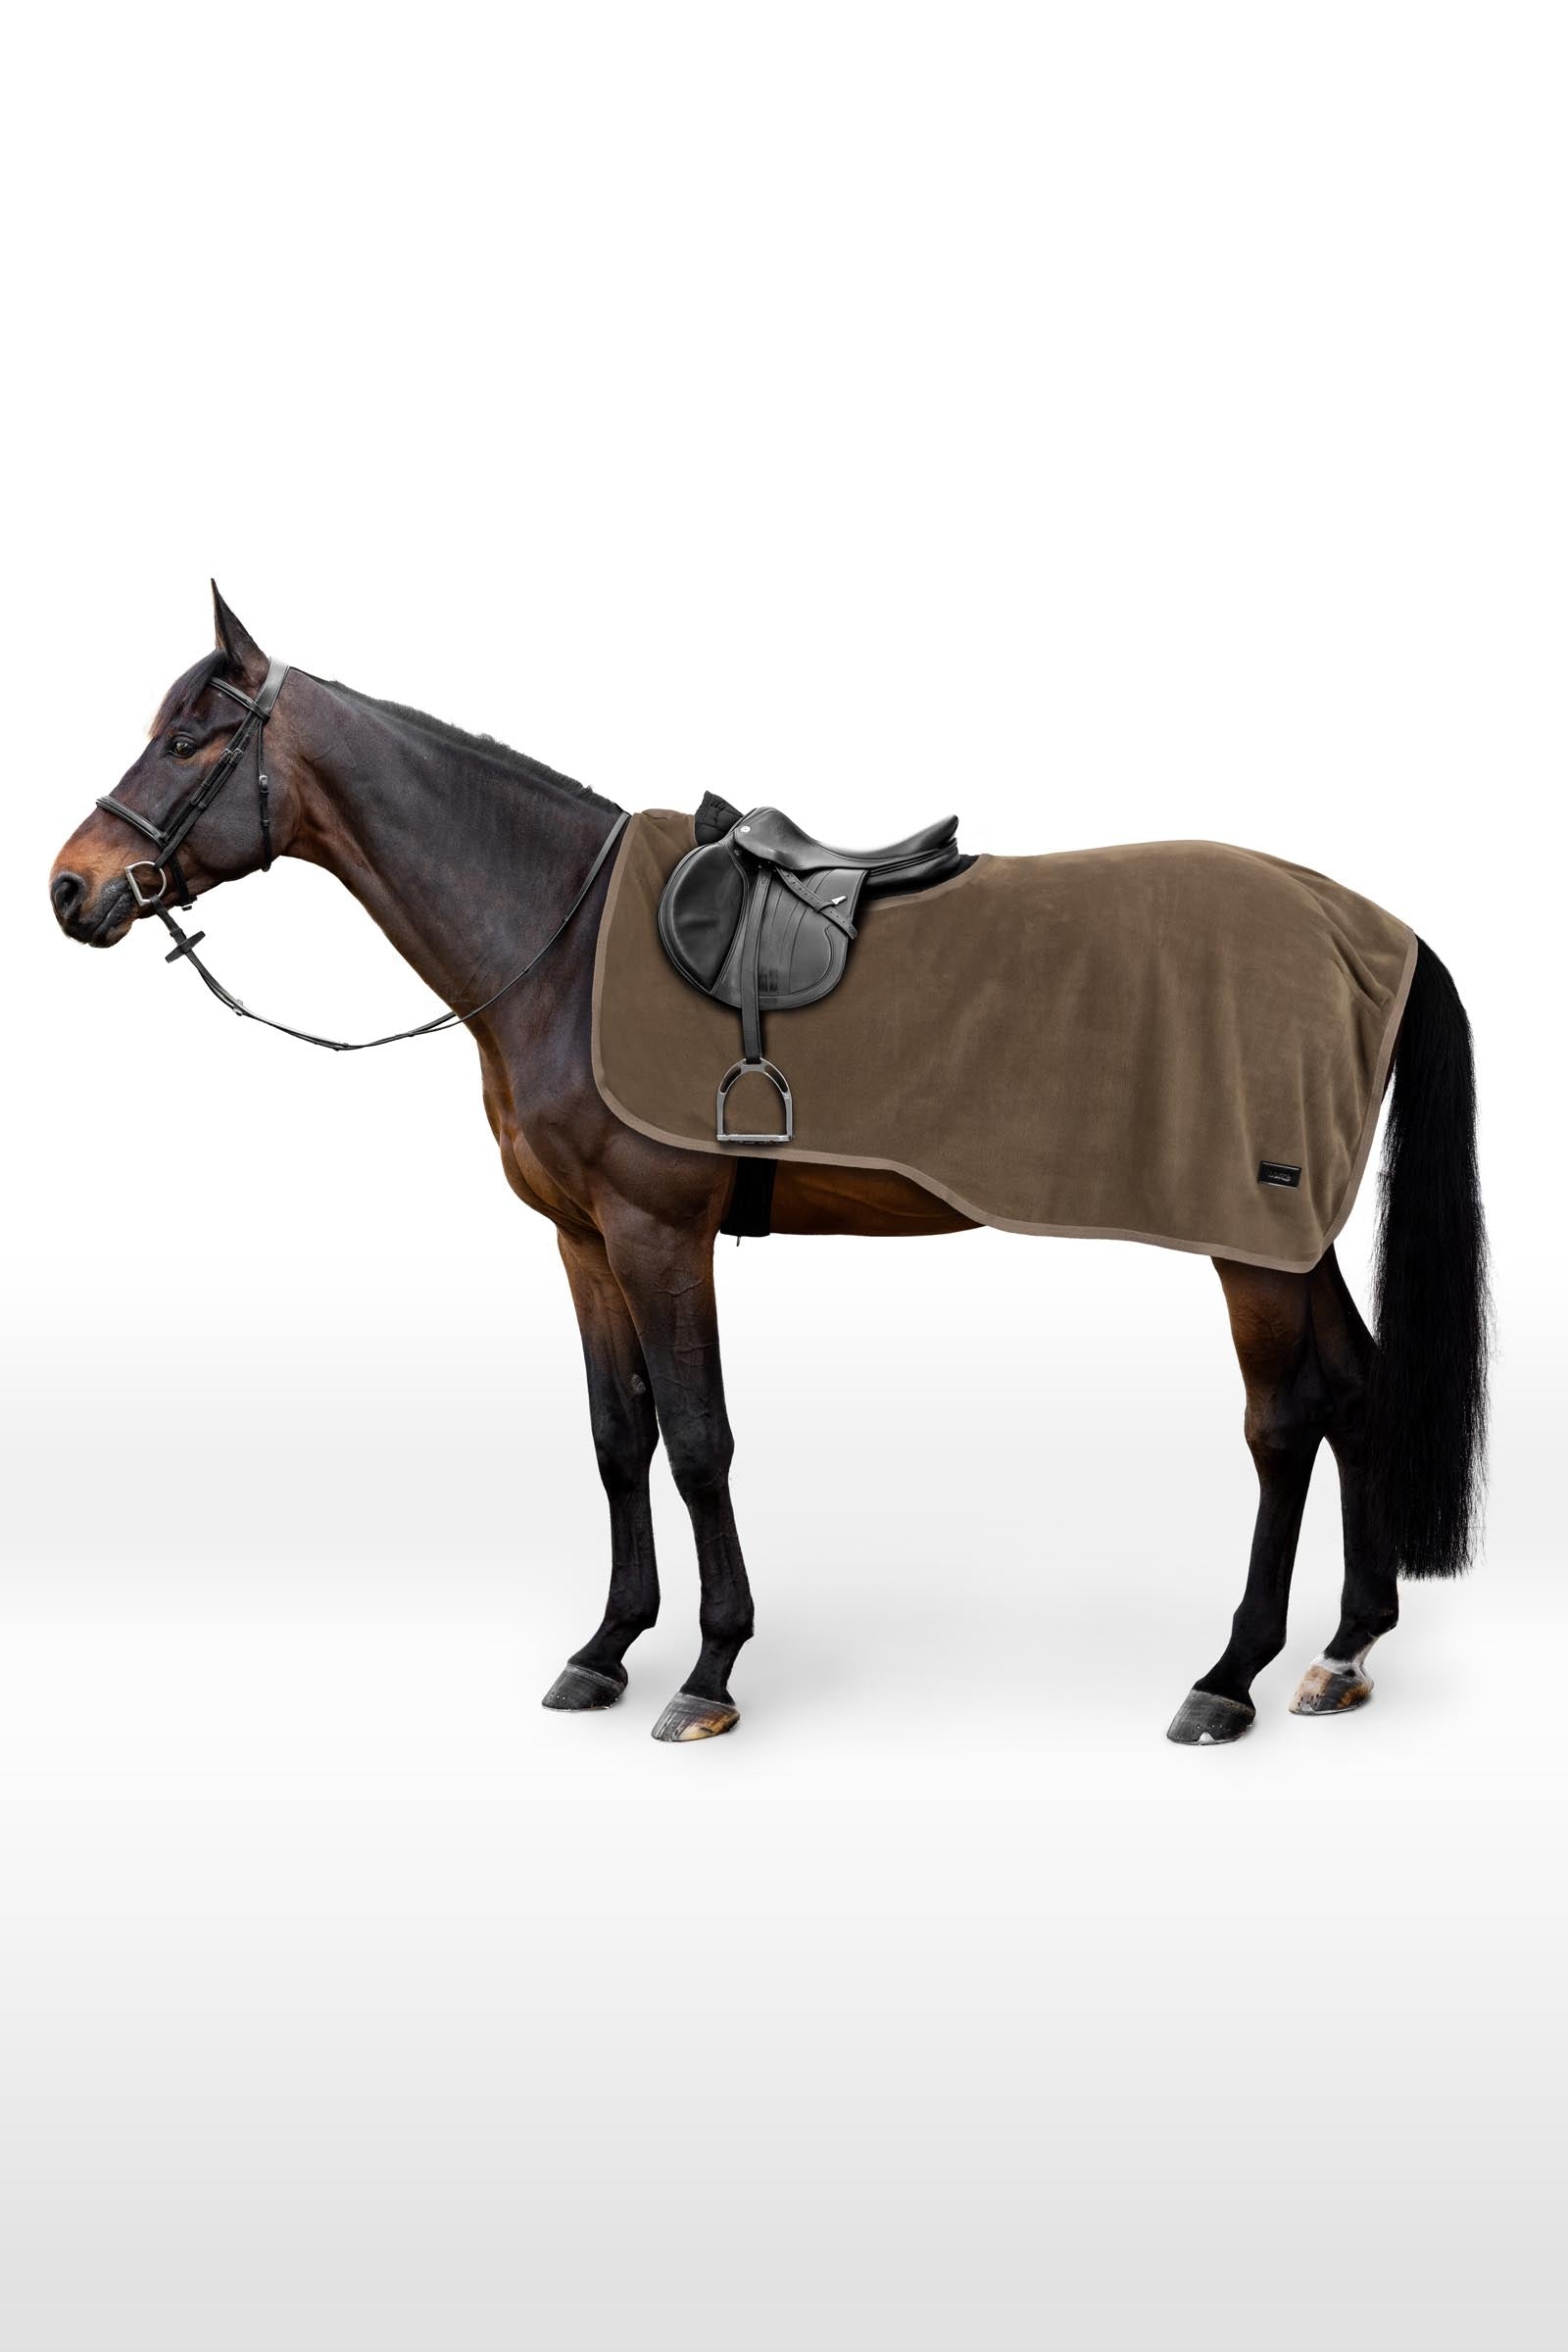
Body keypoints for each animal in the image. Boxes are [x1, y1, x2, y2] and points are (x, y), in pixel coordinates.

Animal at [49, 590, 1488, 1744]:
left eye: (192, 739)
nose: (72, 889)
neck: (558, 942)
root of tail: (1364, 925)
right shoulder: (583, 1241)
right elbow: (617, 1437)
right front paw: (605, 1649)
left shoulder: (657, 1232)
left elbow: (698, 1442)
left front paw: (709, 1671)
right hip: (1289, 1238)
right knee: (1355, 1391)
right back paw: (1344, 1653)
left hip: (1247, 1240)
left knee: (1283, 1422)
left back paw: (1231, 1675)